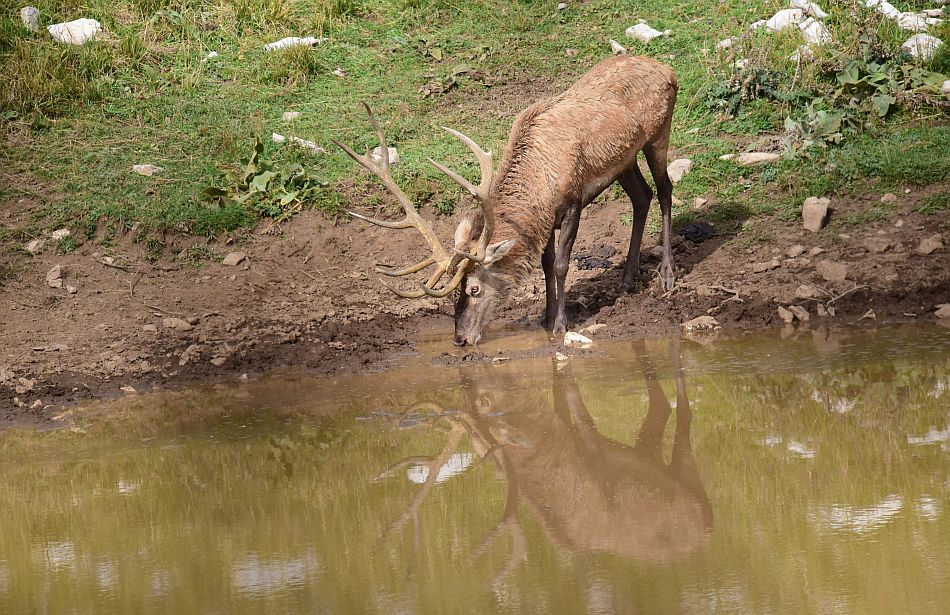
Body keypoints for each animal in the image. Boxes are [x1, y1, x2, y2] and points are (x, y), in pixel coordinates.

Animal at [338, 54, 680, 346]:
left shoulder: (573, 202)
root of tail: (668, 69)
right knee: (642, 196)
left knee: (665, 190)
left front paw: (560, 325)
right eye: (454, 292)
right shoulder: (544, 221)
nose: (460, 339)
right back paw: (625, 282)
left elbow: (560, 265)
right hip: (625, 160)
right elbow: (544, 264)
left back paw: (667, 275)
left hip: (659, 132)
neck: (541, 187)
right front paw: (545, 318)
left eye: (474, 288)